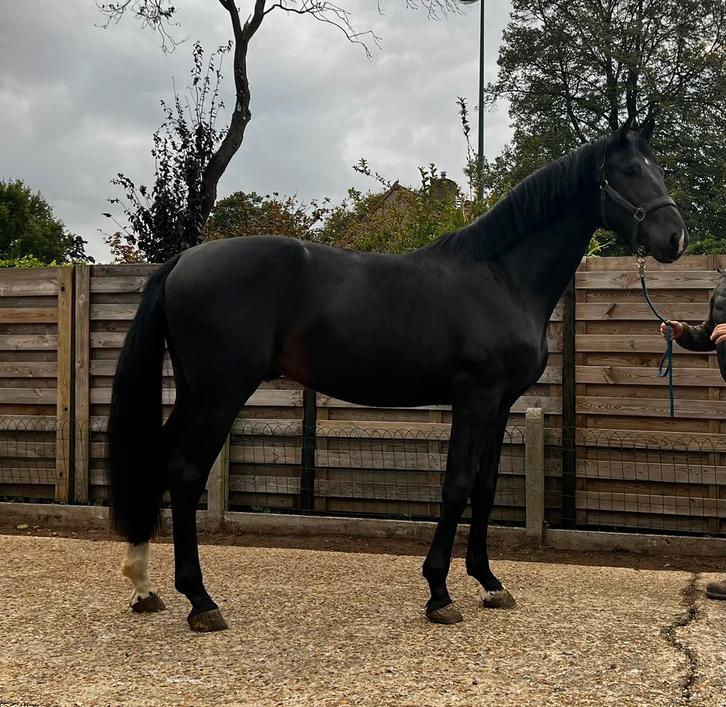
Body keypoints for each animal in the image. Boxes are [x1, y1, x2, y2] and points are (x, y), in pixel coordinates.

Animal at [108, 115, 688, 631]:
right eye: (630, 170)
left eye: (658, 168)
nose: (675, 239)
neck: (501, 277)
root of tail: (182, 262)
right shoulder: (475, 398)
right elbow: (456, 485)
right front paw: (439, 593)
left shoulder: (501, 405)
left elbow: (486, 487)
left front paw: (489, 583)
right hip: (221, 394)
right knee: (185, 472)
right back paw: (200, 601)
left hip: (195, 392)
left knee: (158, 462)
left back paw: (144, 586)